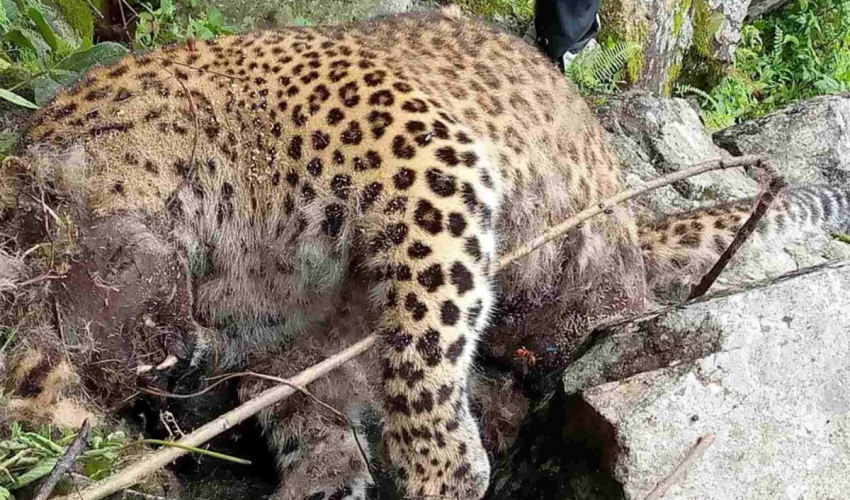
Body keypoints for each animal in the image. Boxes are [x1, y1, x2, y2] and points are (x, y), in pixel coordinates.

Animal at [1, 4, 848, 500]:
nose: (152, 365)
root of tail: (628, 217)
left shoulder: (427, 163)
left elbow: (422, 346)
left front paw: (443, 472)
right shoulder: (281, 336)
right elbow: (304, 403)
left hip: (589, 267)